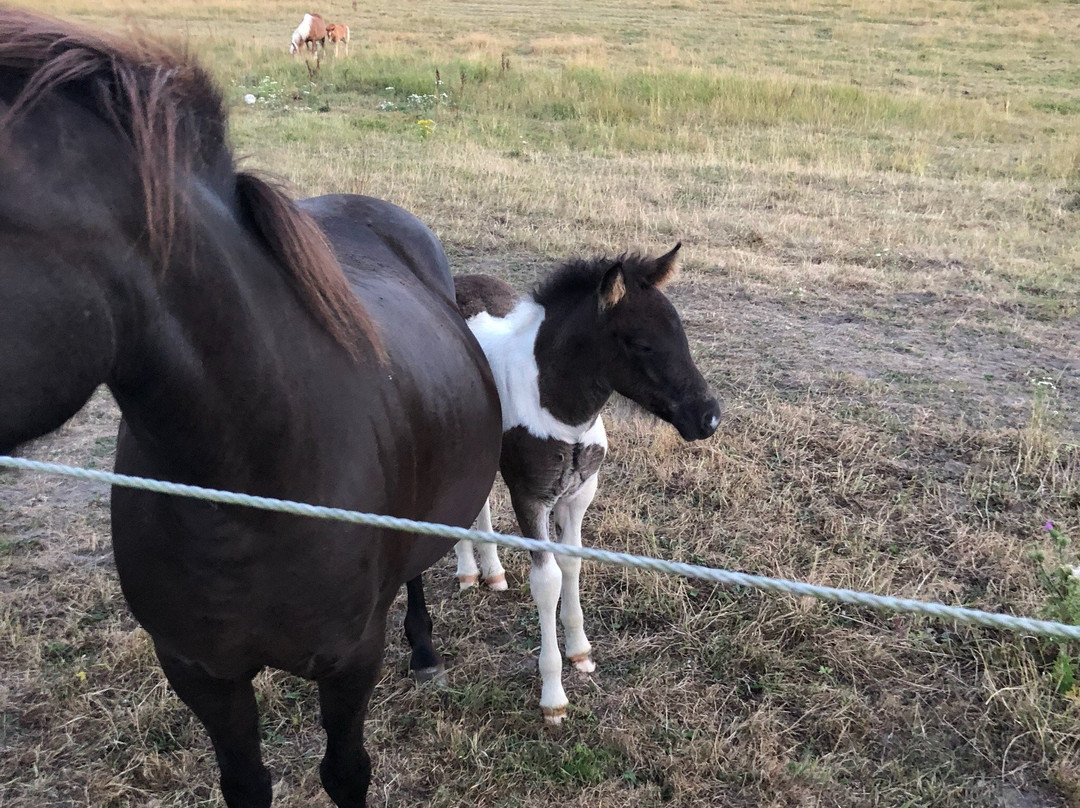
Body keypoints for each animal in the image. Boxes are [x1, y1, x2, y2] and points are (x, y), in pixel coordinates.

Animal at [442, 247, 721, 725]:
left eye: (683, 337)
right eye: (641, 344)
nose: (709, 417)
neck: (557, 408)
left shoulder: (577, 497)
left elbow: (572, 563)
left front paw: (580, 652)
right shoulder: (531, 498)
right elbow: (548, 581)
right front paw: (553, 697)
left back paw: (492, 571)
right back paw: (467, 571)